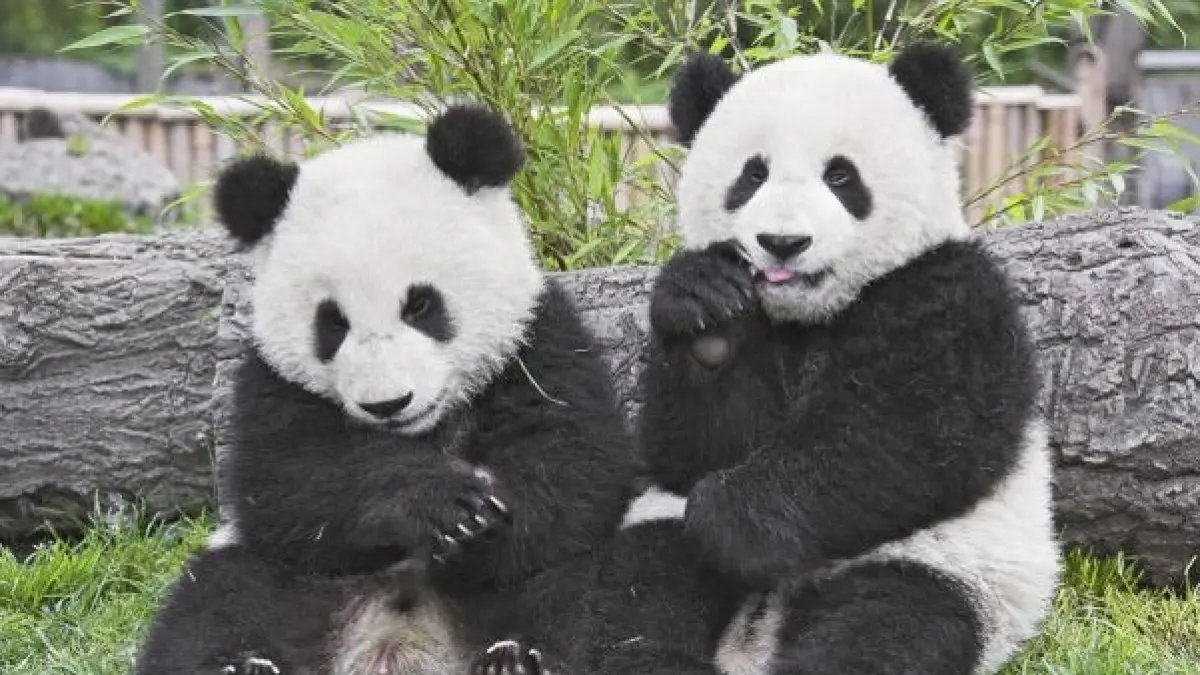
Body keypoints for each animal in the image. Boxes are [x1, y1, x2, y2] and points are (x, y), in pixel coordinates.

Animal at [135, 104, 640, 675]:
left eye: (421, 305)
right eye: (332, 323)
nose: (387, 404)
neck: (420, 434)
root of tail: (398, 642)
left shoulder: (540, 341)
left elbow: (574, 464)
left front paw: (480, 523)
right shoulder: (271, 383)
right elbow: (289, 481)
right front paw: (445, 506)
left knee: (572, 600)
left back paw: (516, 658)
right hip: (287, 579)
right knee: (215, 604)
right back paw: (243, 664)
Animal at [577, 43, 1062, 675]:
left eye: (840, 176)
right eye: (752, 175)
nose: (782, 243)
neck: (809, 314)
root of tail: (755, 640)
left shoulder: (951, 297)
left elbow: (904, 438)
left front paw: (732, 516)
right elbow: (690, 446)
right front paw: (709, 316)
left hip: (949, 565)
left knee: (889, 624)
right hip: (657, 527)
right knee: (644, 587)